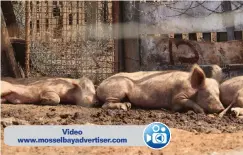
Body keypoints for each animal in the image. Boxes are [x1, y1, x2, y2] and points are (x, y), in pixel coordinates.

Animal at [96, 63, 225, 113]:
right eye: (207, 94)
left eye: (218, 94)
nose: (221, 108)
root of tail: (99, 86)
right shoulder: (177, 97)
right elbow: (187, 101)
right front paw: (201, 111)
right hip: (117, 90)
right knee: (105, 105)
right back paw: (124, 107)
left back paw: (128, 105)